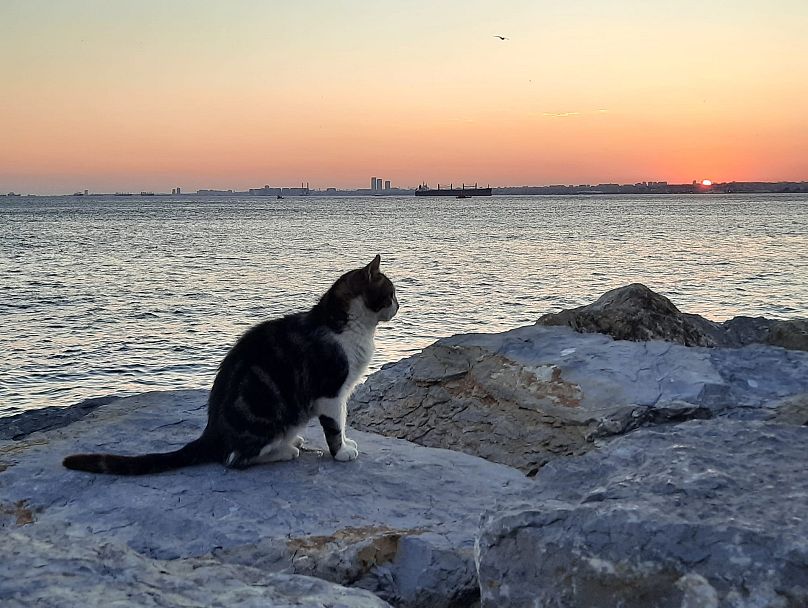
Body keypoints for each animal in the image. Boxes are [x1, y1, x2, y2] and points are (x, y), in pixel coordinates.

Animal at [64, 255, 400, 476]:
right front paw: (341, 451)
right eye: (391, 293)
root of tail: (212, 432)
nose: (400, 304)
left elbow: (342, 421)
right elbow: (334, 425)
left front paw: (346, 441)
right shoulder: (331, 389)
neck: (343, 325)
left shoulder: (342, 391)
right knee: (235, 458)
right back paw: (284, 450)